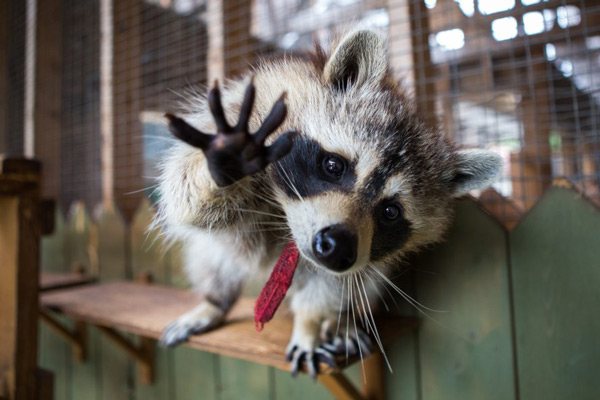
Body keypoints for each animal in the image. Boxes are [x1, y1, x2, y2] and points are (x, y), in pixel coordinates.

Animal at [156, 28, 502, 378]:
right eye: (334, 165)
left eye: (390, 212)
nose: (337, 248)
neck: (285, 217)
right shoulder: (238, 110)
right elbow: (184, 199)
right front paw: (226, 161)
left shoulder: (356, 257)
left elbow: (335, 284)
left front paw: (308, 325)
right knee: (211, 261)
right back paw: (214, 301)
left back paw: (342, 322)